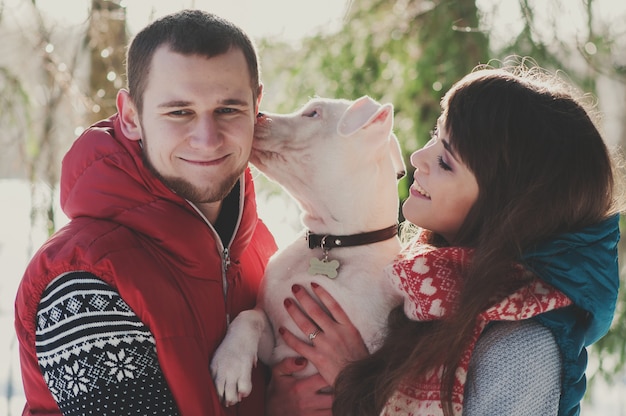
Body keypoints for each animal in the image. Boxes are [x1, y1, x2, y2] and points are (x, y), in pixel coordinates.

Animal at [210, 96, 404, 404]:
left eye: (313, 113)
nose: (259, 114)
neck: (333, 241)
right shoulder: (278, 343)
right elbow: (250, 316)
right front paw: (231, 364)